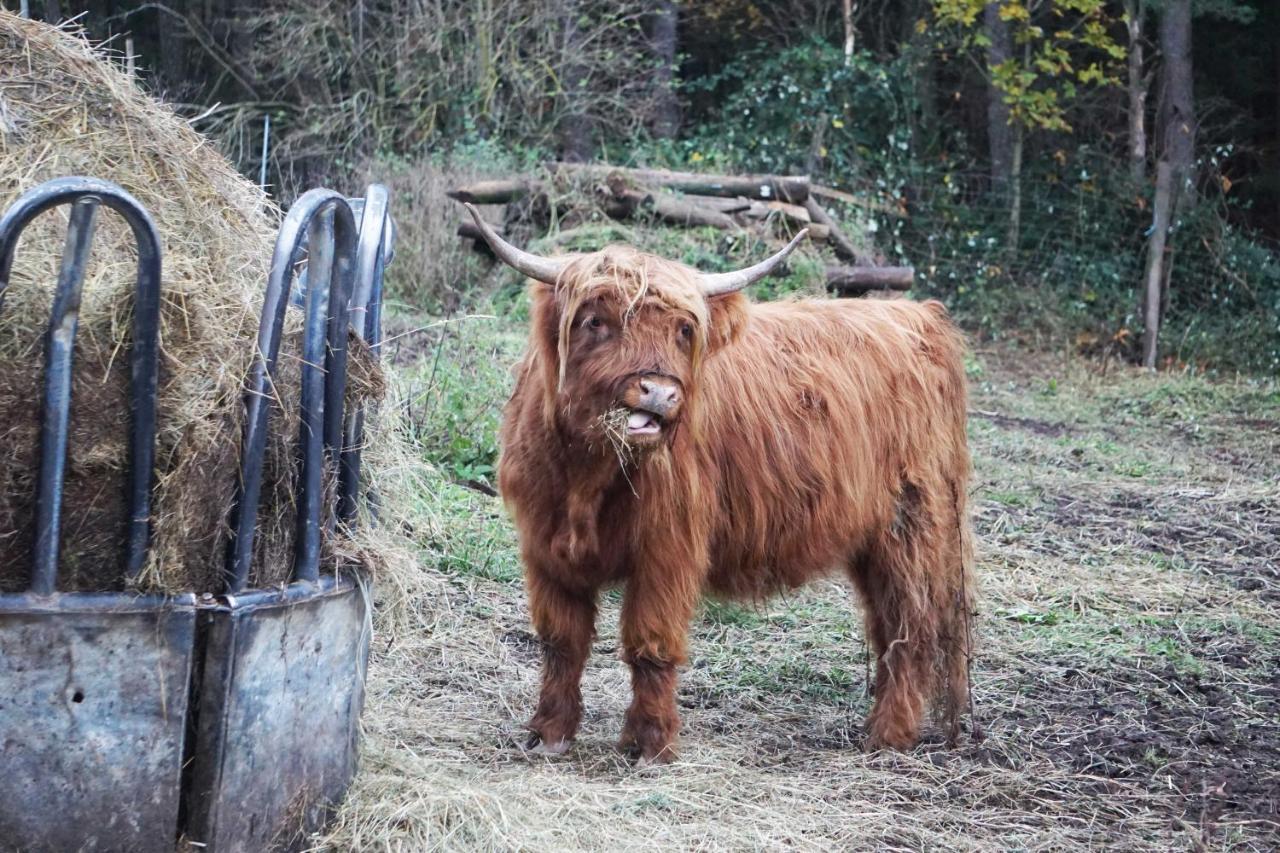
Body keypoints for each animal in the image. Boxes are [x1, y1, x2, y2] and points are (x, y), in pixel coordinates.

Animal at [465, 202, 972, 758]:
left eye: (684, 331)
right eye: (596, 321)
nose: (660, 392)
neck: (588, 478)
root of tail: (916, 315)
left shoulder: (668, 546)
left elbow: (651, 642)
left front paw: (649, 742)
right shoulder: (545, 546)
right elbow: (561, 642)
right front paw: (549, 732)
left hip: (912, 525)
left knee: (911, 627)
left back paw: (889, 736)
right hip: (871, 538)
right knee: (885, 626)